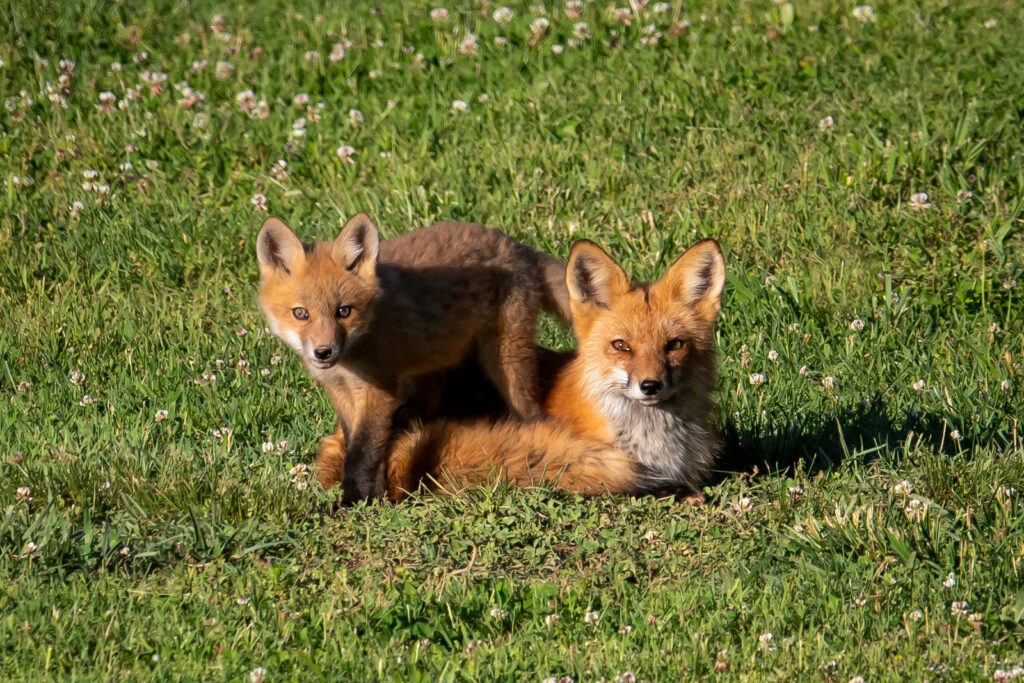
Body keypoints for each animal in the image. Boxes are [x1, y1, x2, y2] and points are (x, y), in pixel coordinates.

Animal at [254, 214, 573, 507]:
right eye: (300, 313)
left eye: (343, 311)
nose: (323, 352)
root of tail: (515, 244)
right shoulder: (341, 390)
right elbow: (362, 446)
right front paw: (377, 497)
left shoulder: (378, 389)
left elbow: (361, 455)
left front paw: (353, 502)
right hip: (434, 356)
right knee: (434, 396)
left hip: (505, 363)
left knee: (531, 413)